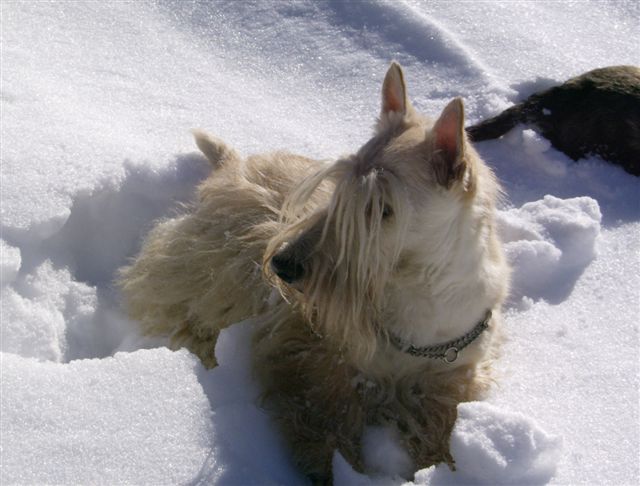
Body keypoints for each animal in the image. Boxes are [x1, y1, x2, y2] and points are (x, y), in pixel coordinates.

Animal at [119, 61, 510, 482]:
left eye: (383, 208)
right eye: (337, 189)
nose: (282, 265)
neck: (416, 294)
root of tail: (232, 165)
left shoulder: (448, 379)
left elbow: (440, 429)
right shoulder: (320, 358)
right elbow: (327, 418)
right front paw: (330, 467)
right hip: (204, 269)